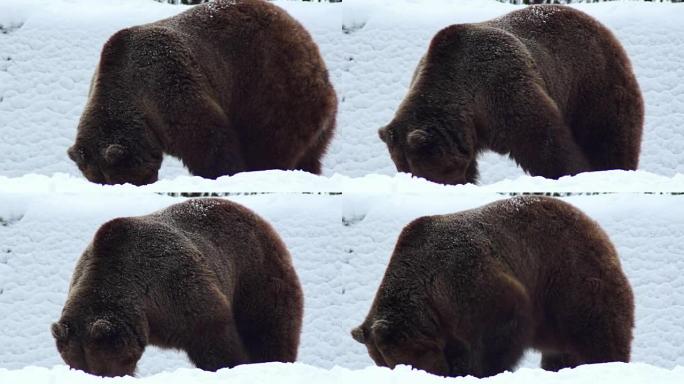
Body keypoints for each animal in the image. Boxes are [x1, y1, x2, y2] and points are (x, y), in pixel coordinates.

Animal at [50, 200, 302, 376]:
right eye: (77, 366)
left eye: (101, 367)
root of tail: (258, 218)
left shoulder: (176, 288)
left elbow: (214, 334)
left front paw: (228, 366)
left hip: (255, 275)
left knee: (268, 328)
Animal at [68, 0, 336, 185]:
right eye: (100, 180)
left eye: (120, 177)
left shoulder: (168, 82)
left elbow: (208, 137)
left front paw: (222, 173)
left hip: (270, 84)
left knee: (270, 138)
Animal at [352, 196, 636, 380]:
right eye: (384, 365)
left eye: (404, 363)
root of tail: (593, 225)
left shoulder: (465, 281)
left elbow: (502, 323)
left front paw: (482, 371)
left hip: (569, 277)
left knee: (596, 331)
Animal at [382, 4, 644, 184]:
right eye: (404, 168)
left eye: (422, 171)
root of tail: (598, 24)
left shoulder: (501, 86)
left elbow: (544, 139)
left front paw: (571, 172)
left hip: (592, 81)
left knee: (609, 134)